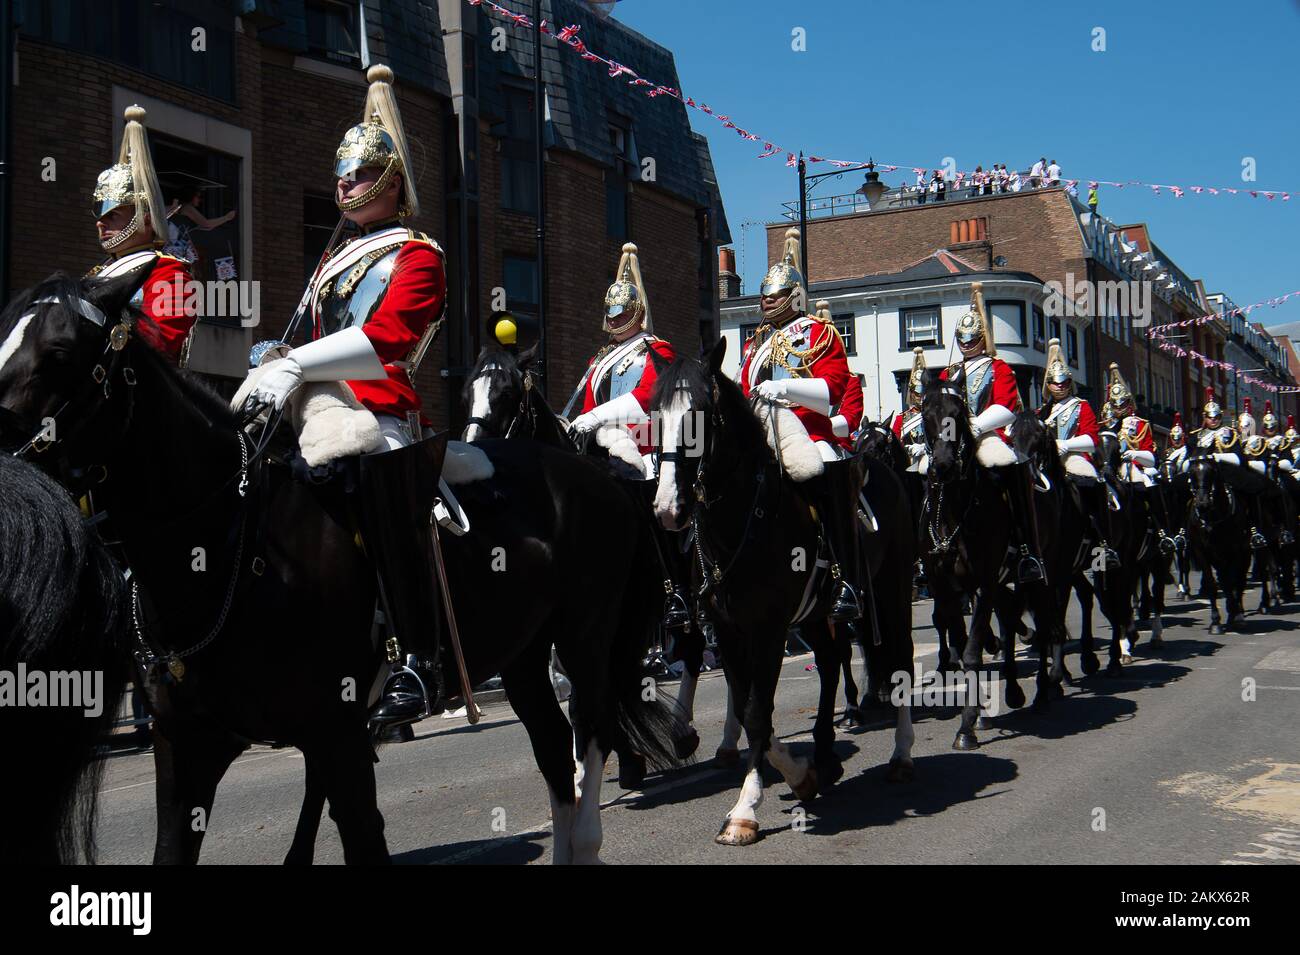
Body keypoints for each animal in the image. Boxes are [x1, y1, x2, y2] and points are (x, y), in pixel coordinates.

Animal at [650, 343, 915, 841]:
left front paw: (744, 810)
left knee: (901, 660)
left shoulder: (769, 629)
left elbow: (758, 711)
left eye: (700, 415)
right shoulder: (729, 630)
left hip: (893, 589)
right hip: (814, 615)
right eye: (655, 417)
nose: (668, 509)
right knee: (830, 664)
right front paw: (798, 775)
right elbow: (752, 709)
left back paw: (902, 754)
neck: (743, 520)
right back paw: (826, 758)